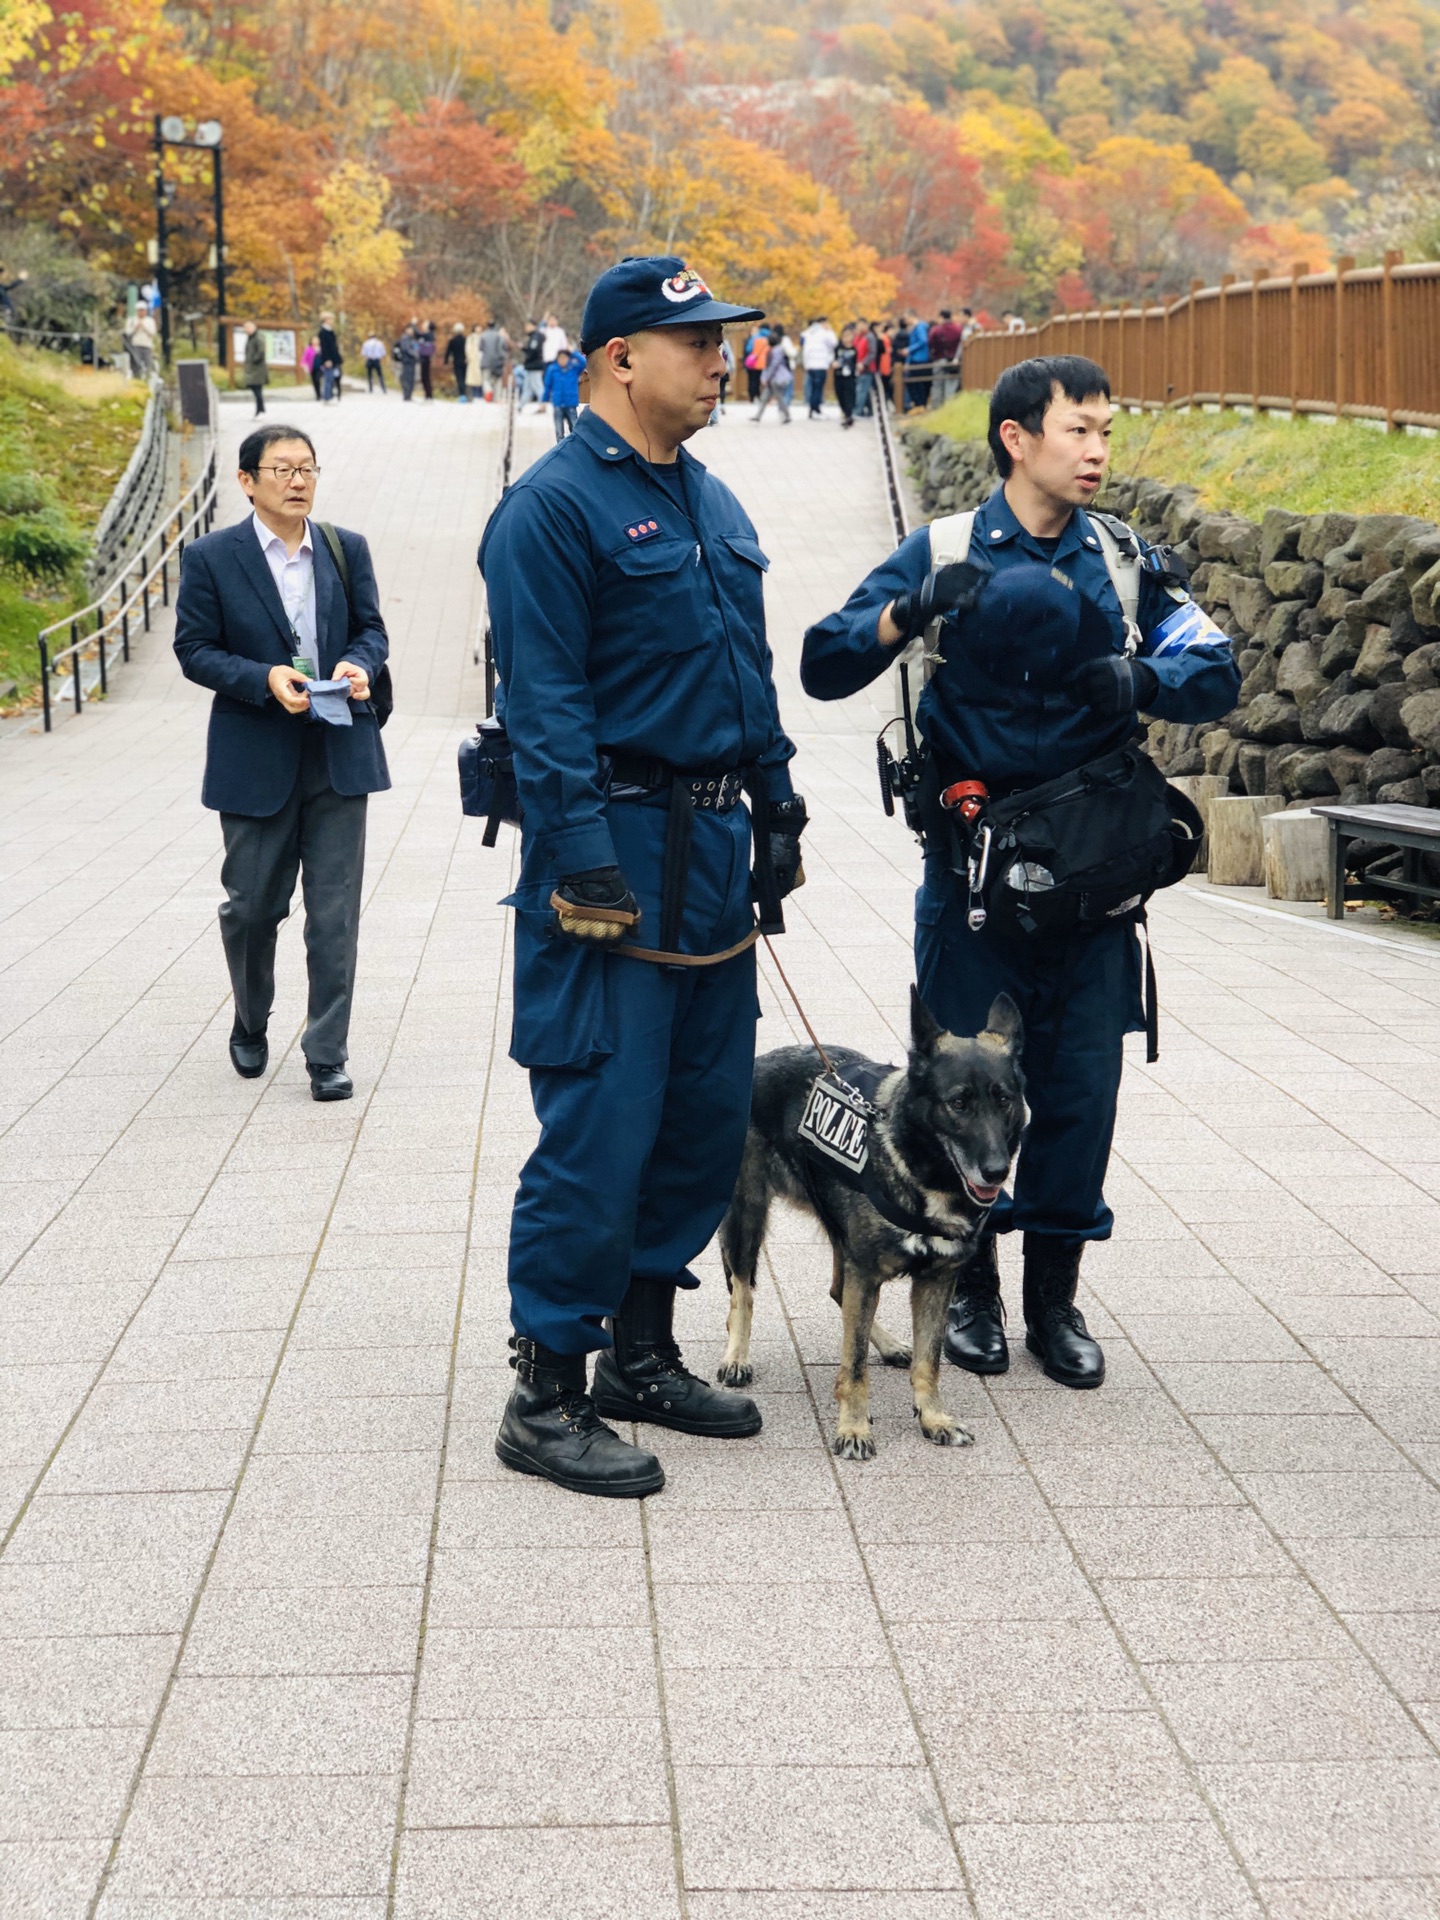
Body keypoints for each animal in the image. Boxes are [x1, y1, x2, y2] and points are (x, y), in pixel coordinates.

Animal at [718, 990, 1029, 1451]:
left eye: (1004, 1100)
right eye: (958, 1103)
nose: (996, 1172)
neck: (924, 1175)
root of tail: (758, 1064)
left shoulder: (935, 1281)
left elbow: (928, 1361)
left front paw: (932, 1417)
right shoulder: (866, 1271)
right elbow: (854, 1363)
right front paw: (853, 1427)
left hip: (841, 1239)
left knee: (838, 1293)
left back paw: (888, 1344)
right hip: (748, 1217)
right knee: (744, 1291)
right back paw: (736, 1356)